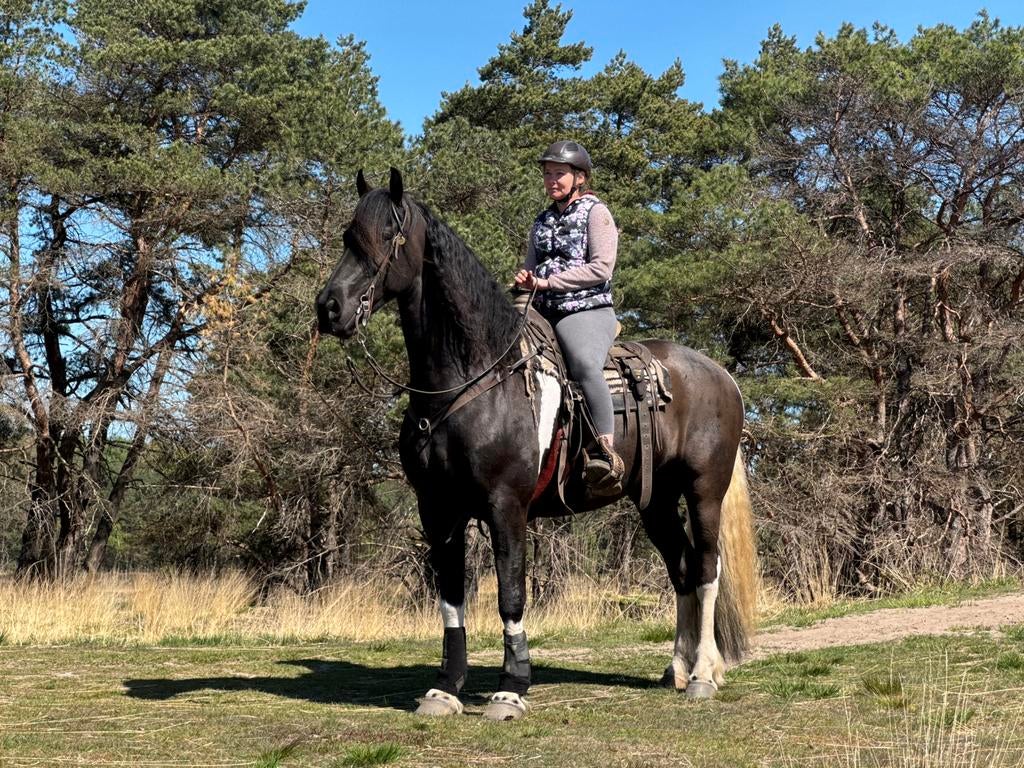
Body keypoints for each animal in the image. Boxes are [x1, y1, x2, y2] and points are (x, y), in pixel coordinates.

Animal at [316, 168, 757, 721]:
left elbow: (510, 593)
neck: (474, 379)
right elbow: (451, 597)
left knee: (705, 569)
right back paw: (676, 669)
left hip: (703, 492)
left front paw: (510, 689)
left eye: (386, 237)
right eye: (347, 238)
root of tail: (722, 377)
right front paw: (445, 689)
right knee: (679, 570)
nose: (329, 308)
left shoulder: (506, 506)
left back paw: (702, 674)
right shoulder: (437, 509)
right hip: (654, 501)